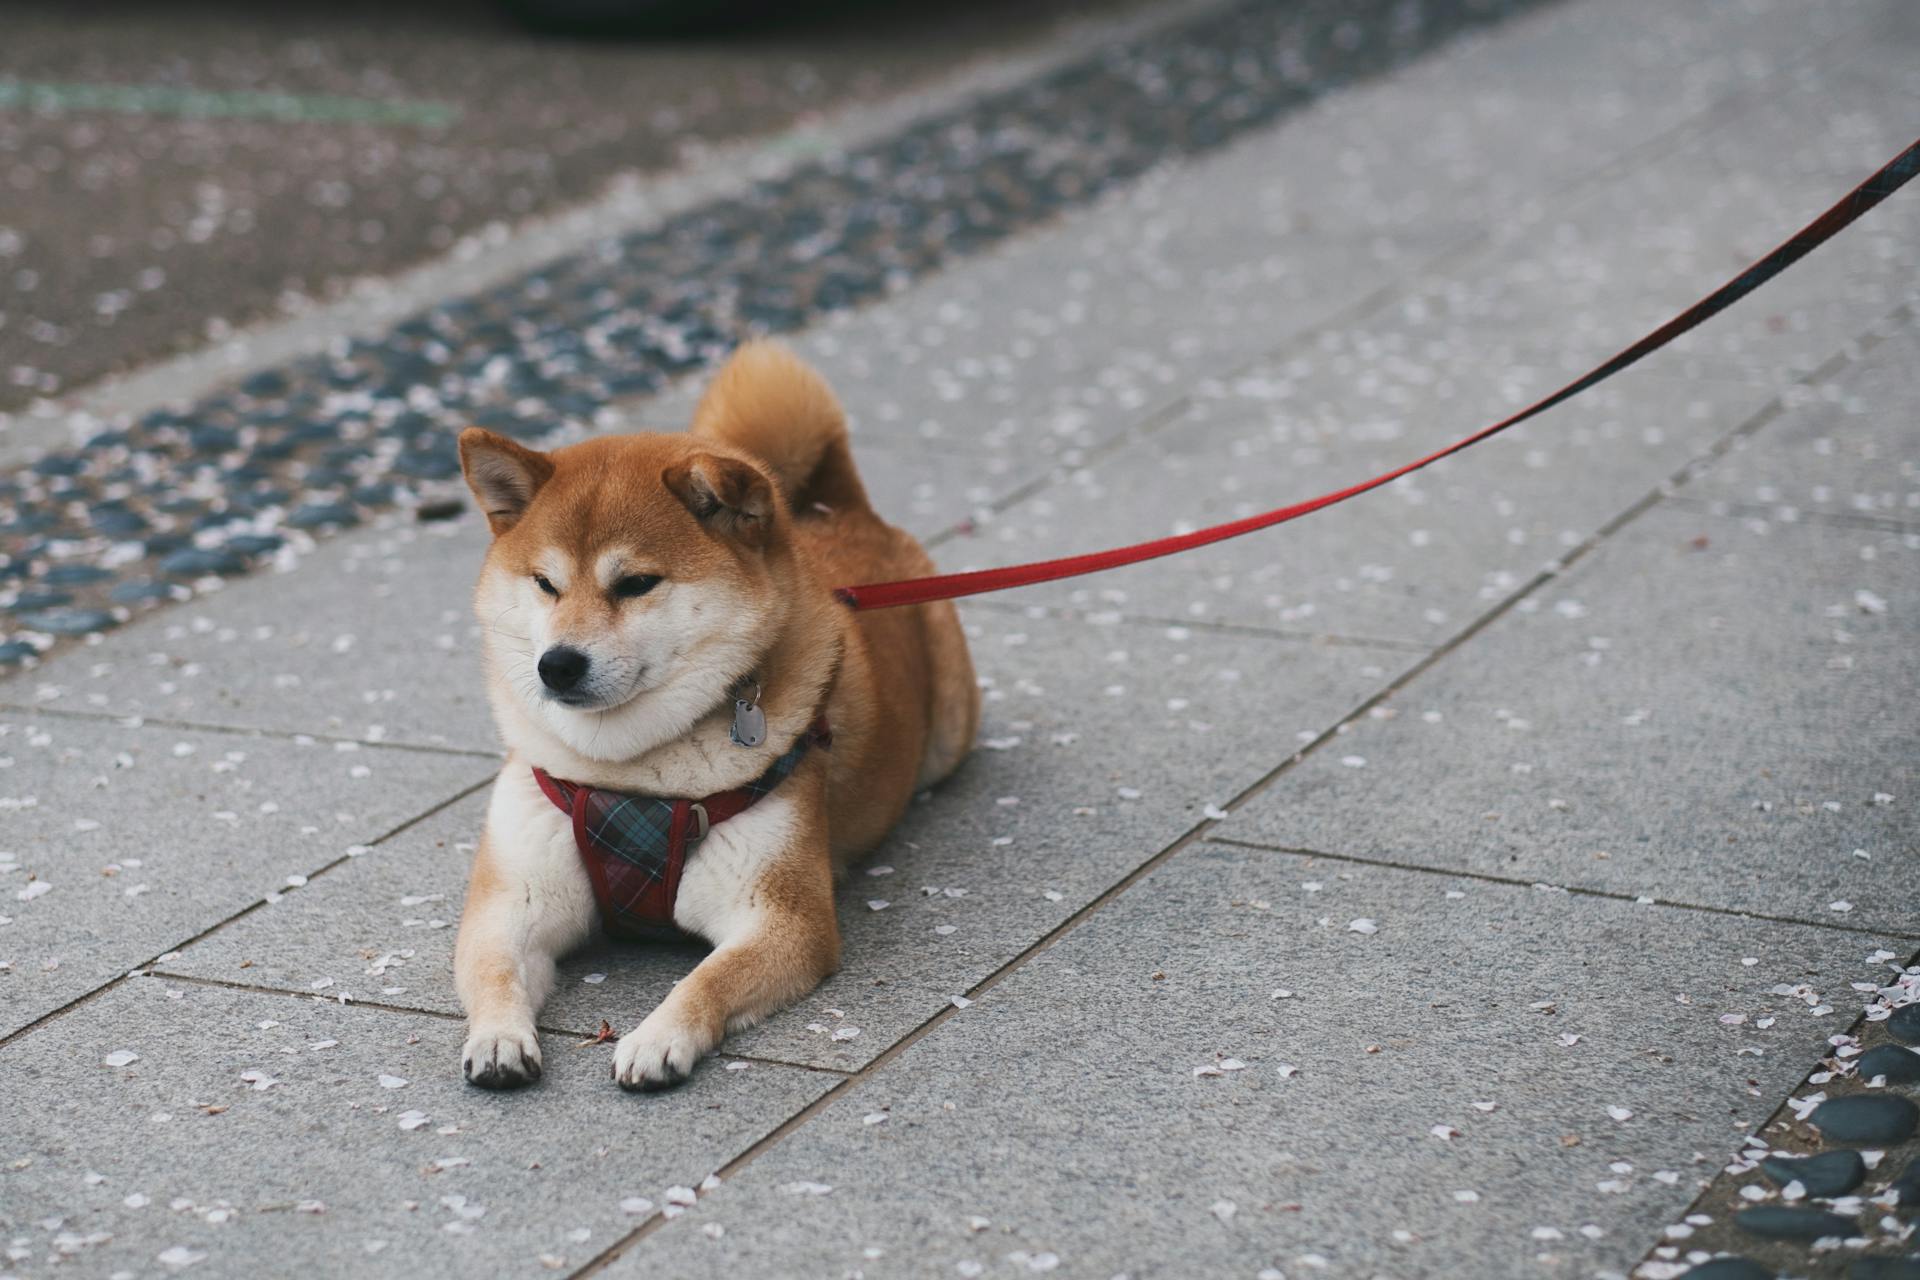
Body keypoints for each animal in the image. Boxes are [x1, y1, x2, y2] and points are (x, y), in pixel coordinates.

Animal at [456, 339, 983, 1090]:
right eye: (545, 583)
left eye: (636, 583)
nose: (556, 664)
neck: (629, 775)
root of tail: (838, 510)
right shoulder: (513, 901)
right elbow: (494, 970)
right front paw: (499, 1037)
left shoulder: (781, 916)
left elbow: (707, 979)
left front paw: (657, 1037)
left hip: (948, 733)